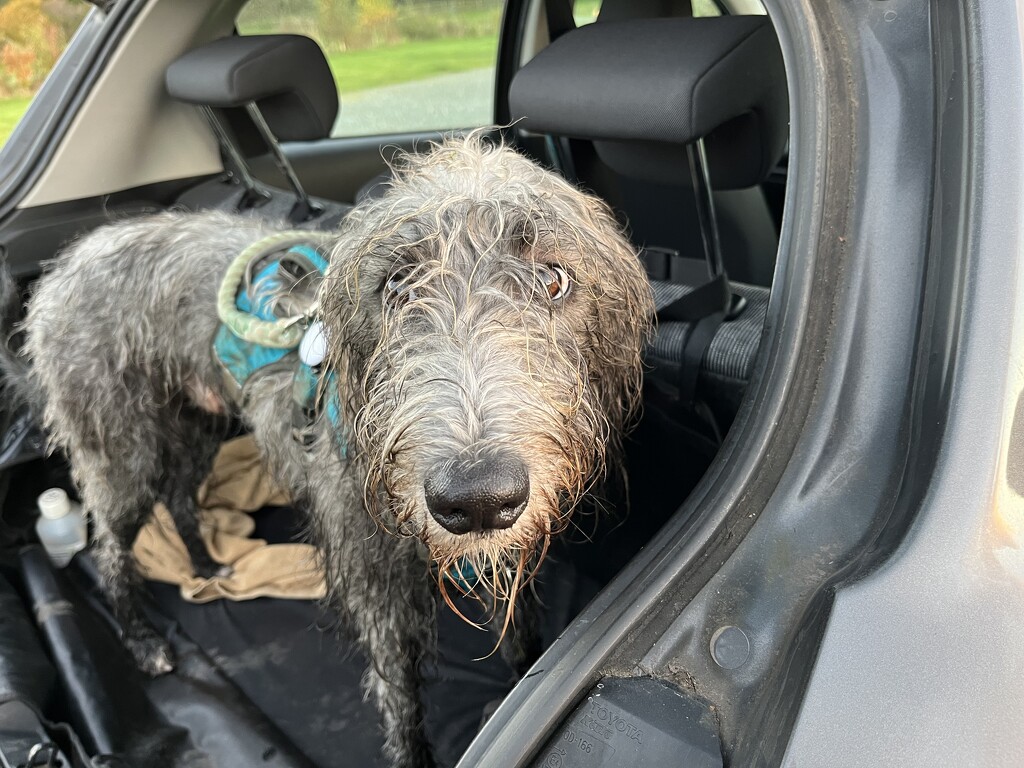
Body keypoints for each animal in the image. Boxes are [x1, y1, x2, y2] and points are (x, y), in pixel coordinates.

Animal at [0, 135, 651, 765]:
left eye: (554, 279)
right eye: (395, 285)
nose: (478, 498)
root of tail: (64, 268)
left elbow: (520, 636)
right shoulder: (375, 585)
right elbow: (399, 697)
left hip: (197, 423)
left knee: (182, 498)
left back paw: (206, 565)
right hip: (123, 445)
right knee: (110, 545)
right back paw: (143, 641)